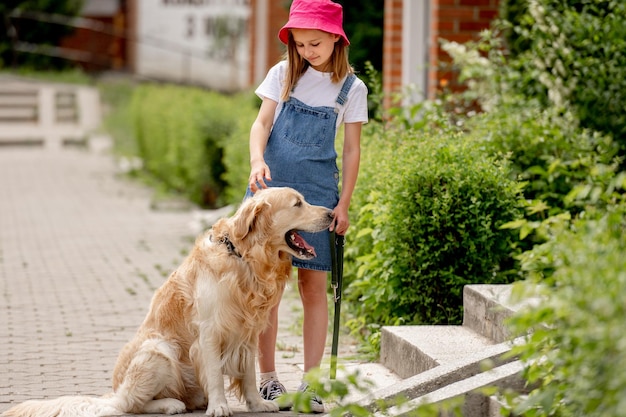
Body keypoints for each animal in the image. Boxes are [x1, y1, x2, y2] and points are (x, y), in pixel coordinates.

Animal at [3, 188, 332, 416]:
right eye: (297, 204)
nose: (331, 214)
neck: (243, 257)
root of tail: (113, 391)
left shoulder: (247, 333)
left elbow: (249, 374)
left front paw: (256, 404)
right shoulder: (209, 332)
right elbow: (215, 373)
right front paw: (220, 406)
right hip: (158, 351)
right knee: (128, 404)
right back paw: (170, 404)